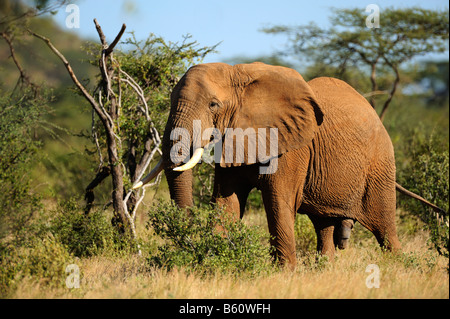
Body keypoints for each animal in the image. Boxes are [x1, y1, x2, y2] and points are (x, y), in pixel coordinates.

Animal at [133, 61, 432, 268]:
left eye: (213, 105)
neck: (239, 75)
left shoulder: (291, 146)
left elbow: (278, 201)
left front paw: (284, 273)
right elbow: (226, 202)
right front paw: (215, 260)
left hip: (380, 164)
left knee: (385, 229)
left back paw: (399, 268)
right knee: (323, 226)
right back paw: (325, 270)